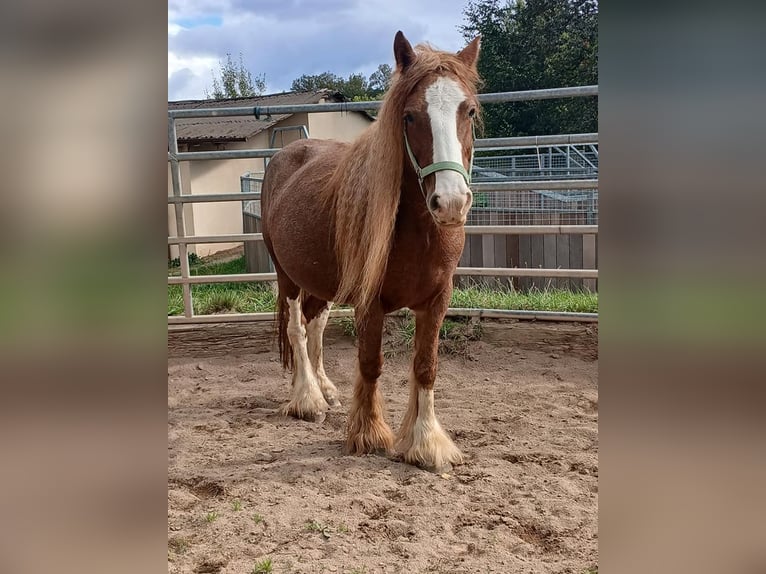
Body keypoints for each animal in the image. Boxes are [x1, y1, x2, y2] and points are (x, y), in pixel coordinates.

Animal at [260, 30, 484, 472]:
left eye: (468, 111)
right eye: (410, 116)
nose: (450, 202)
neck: (419, 233)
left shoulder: (438, 299)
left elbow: (425, 367)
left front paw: (425, 443)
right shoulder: (370, 302)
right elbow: (371, 363)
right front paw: (369, 434)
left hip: (320, 284)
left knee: (314, 325)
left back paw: (325, 389)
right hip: (287, 276)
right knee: (296, 329)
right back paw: (307, 399)